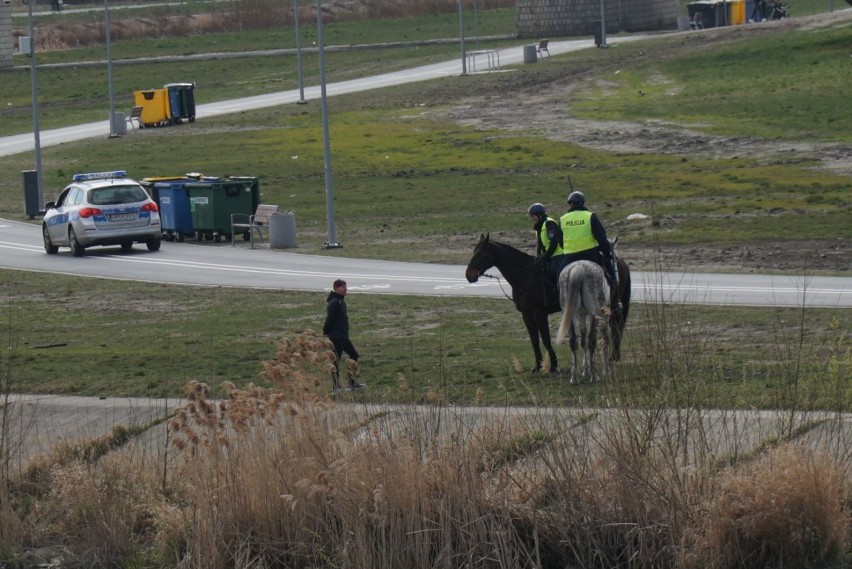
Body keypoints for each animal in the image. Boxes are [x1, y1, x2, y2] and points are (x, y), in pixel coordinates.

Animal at [462, 232, 628, 372]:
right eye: (474, 252)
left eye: (481, 253)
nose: (469, 275)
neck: (526, 274)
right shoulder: (527, 314)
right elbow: (534, 340)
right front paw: (538, 365)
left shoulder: (539, 313)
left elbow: (546, 339)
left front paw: (553, 364)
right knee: (615, 325)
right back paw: (614, 355)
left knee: (616, 325)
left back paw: (613, 356)